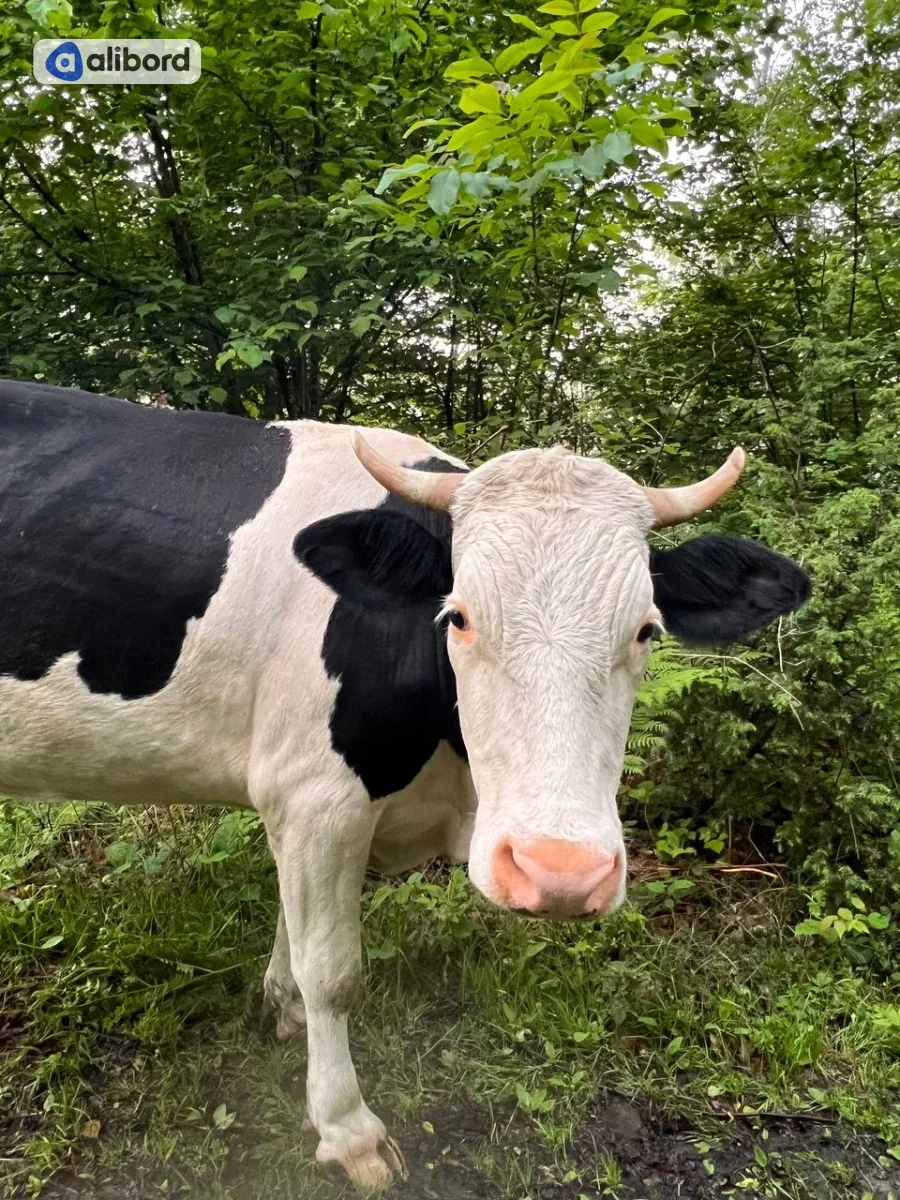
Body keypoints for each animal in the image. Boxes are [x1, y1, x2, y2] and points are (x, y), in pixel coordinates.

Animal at [0, 379, 810, 1191]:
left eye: (646, 630)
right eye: (458, 617)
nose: (562, 873)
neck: (451, 775)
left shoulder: (300, 804)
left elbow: (295, 934)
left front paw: (283, 1006)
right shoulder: (318, 798)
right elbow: (331, 968)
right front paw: (348, 1129)